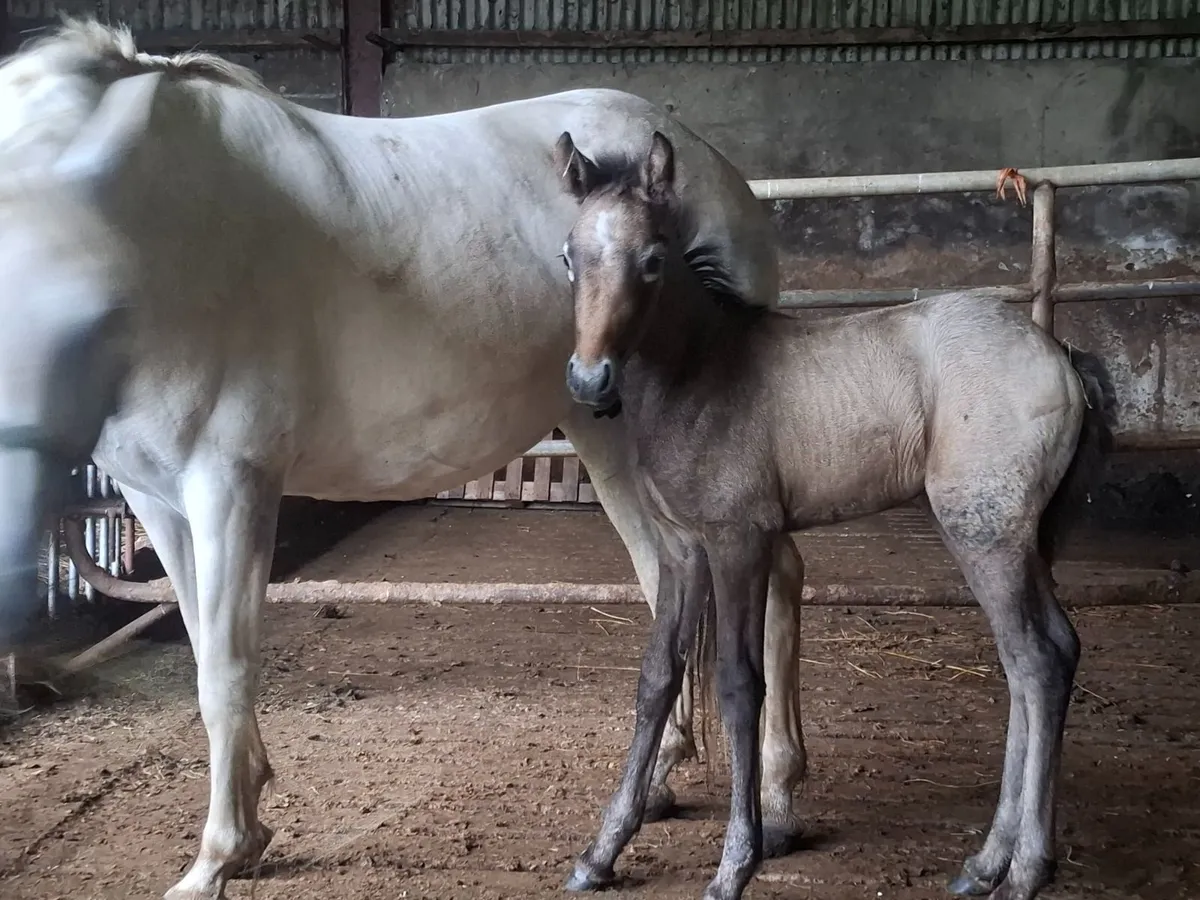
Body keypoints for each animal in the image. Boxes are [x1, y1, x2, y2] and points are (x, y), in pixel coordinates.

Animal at [0, 18, 815, 899]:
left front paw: (217, 855)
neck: (170, 231)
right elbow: (203, 654)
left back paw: (778, 796)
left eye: (73, 296)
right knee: (672, 578)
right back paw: (664, 782)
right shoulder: (157, 498)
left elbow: (226, 668)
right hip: (611, 439)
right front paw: (247, 822)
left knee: (773, 577)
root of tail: (716, 169)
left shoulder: (232, 487)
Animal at [552, 128, 1117, 900]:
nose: (590, 381)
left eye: (652, 259)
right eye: (569, 256)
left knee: (1037, 660)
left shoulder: (739, 540)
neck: (700, 372)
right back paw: (985, 864)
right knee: (1034, 659)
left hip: (983, 531)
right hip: (1017, 538)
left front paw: (736, 863)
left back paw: (1026, 867)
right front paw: (601, 851)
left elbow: (740, 683)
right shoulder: (681, 549)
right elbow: (657, 678)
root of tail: (1059, 351)